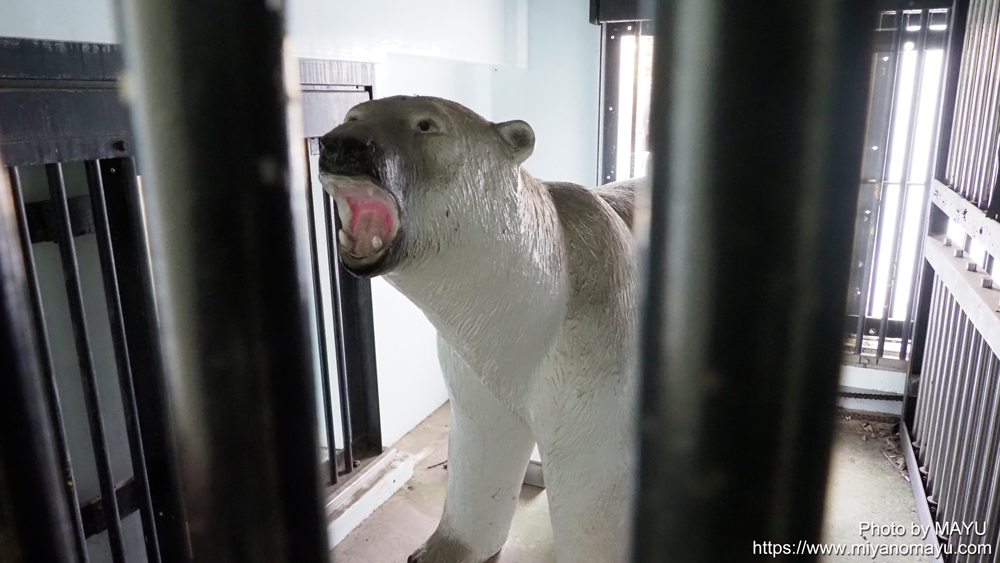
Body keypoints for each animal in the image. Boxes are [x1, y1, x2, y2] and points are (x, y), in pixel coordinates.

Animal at [319, 95, 638, 563]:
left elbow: (593, 478)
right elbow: (483, 443)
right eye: (353, 116)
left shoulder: (600, 350)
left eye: (426, 125)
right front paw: (438, 550)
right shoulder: (474, 357)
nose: (342, 143)